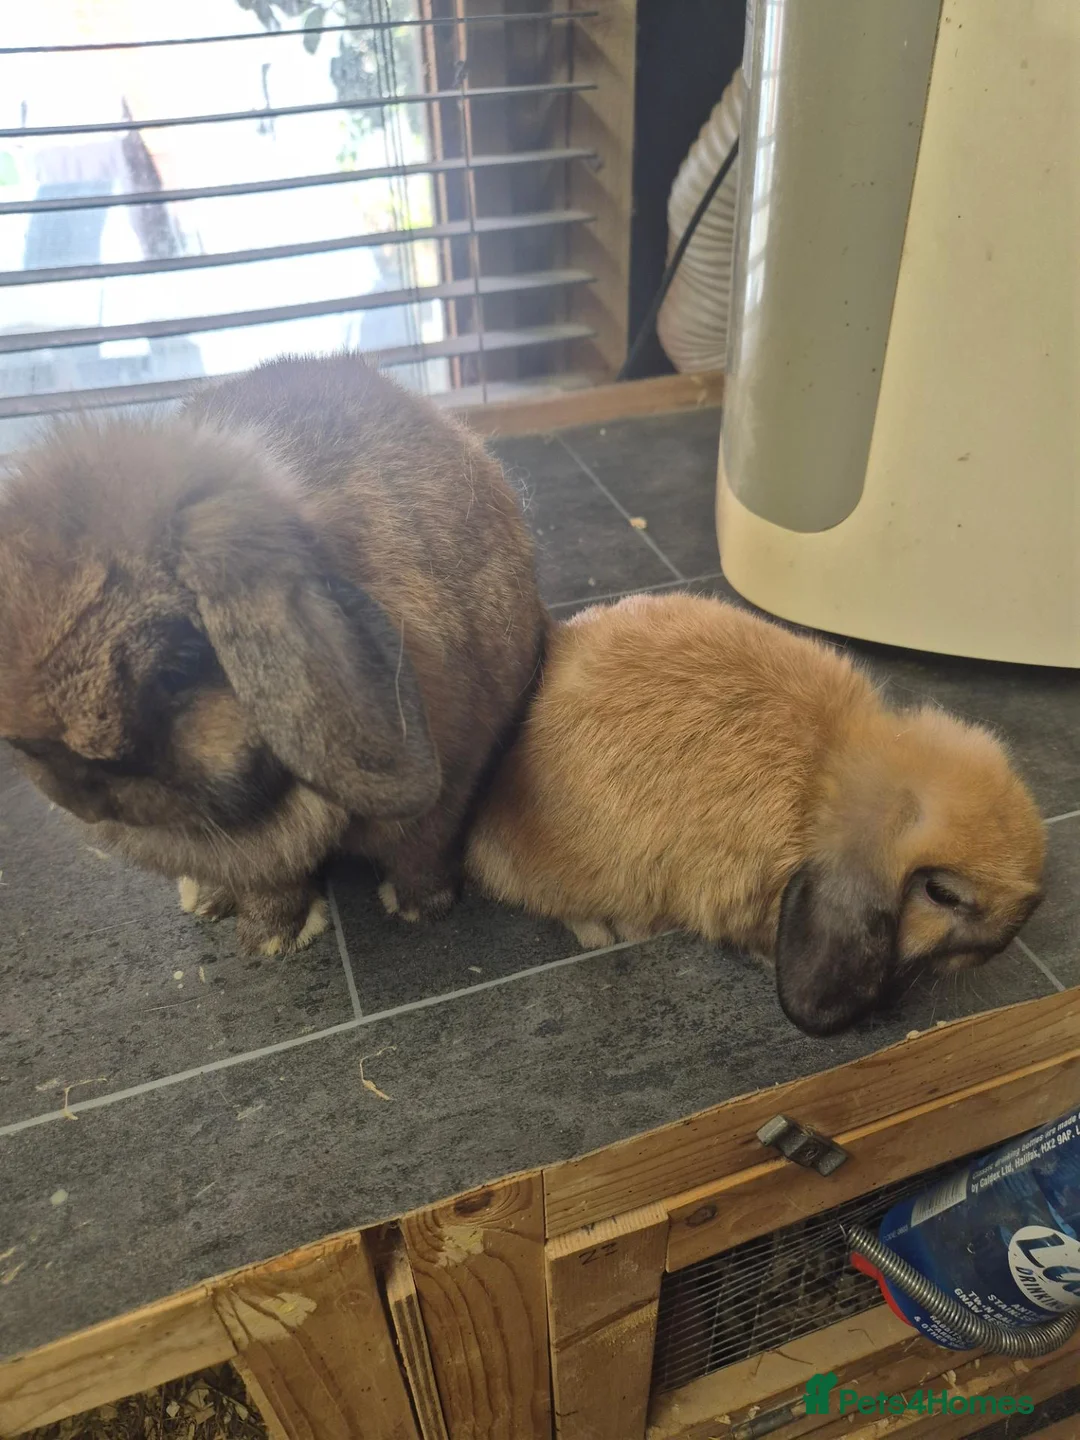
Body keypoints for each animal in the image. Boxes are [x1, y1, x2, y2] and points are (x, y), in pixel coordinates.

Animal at [0, 353, 546, 955]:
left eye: (178, 666)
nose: (78, 793)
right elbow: (269, 884)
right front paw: (272, 940)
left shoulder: (450, 786)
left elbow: (420, 851)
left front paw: (420, 910)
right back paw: (206, 899)